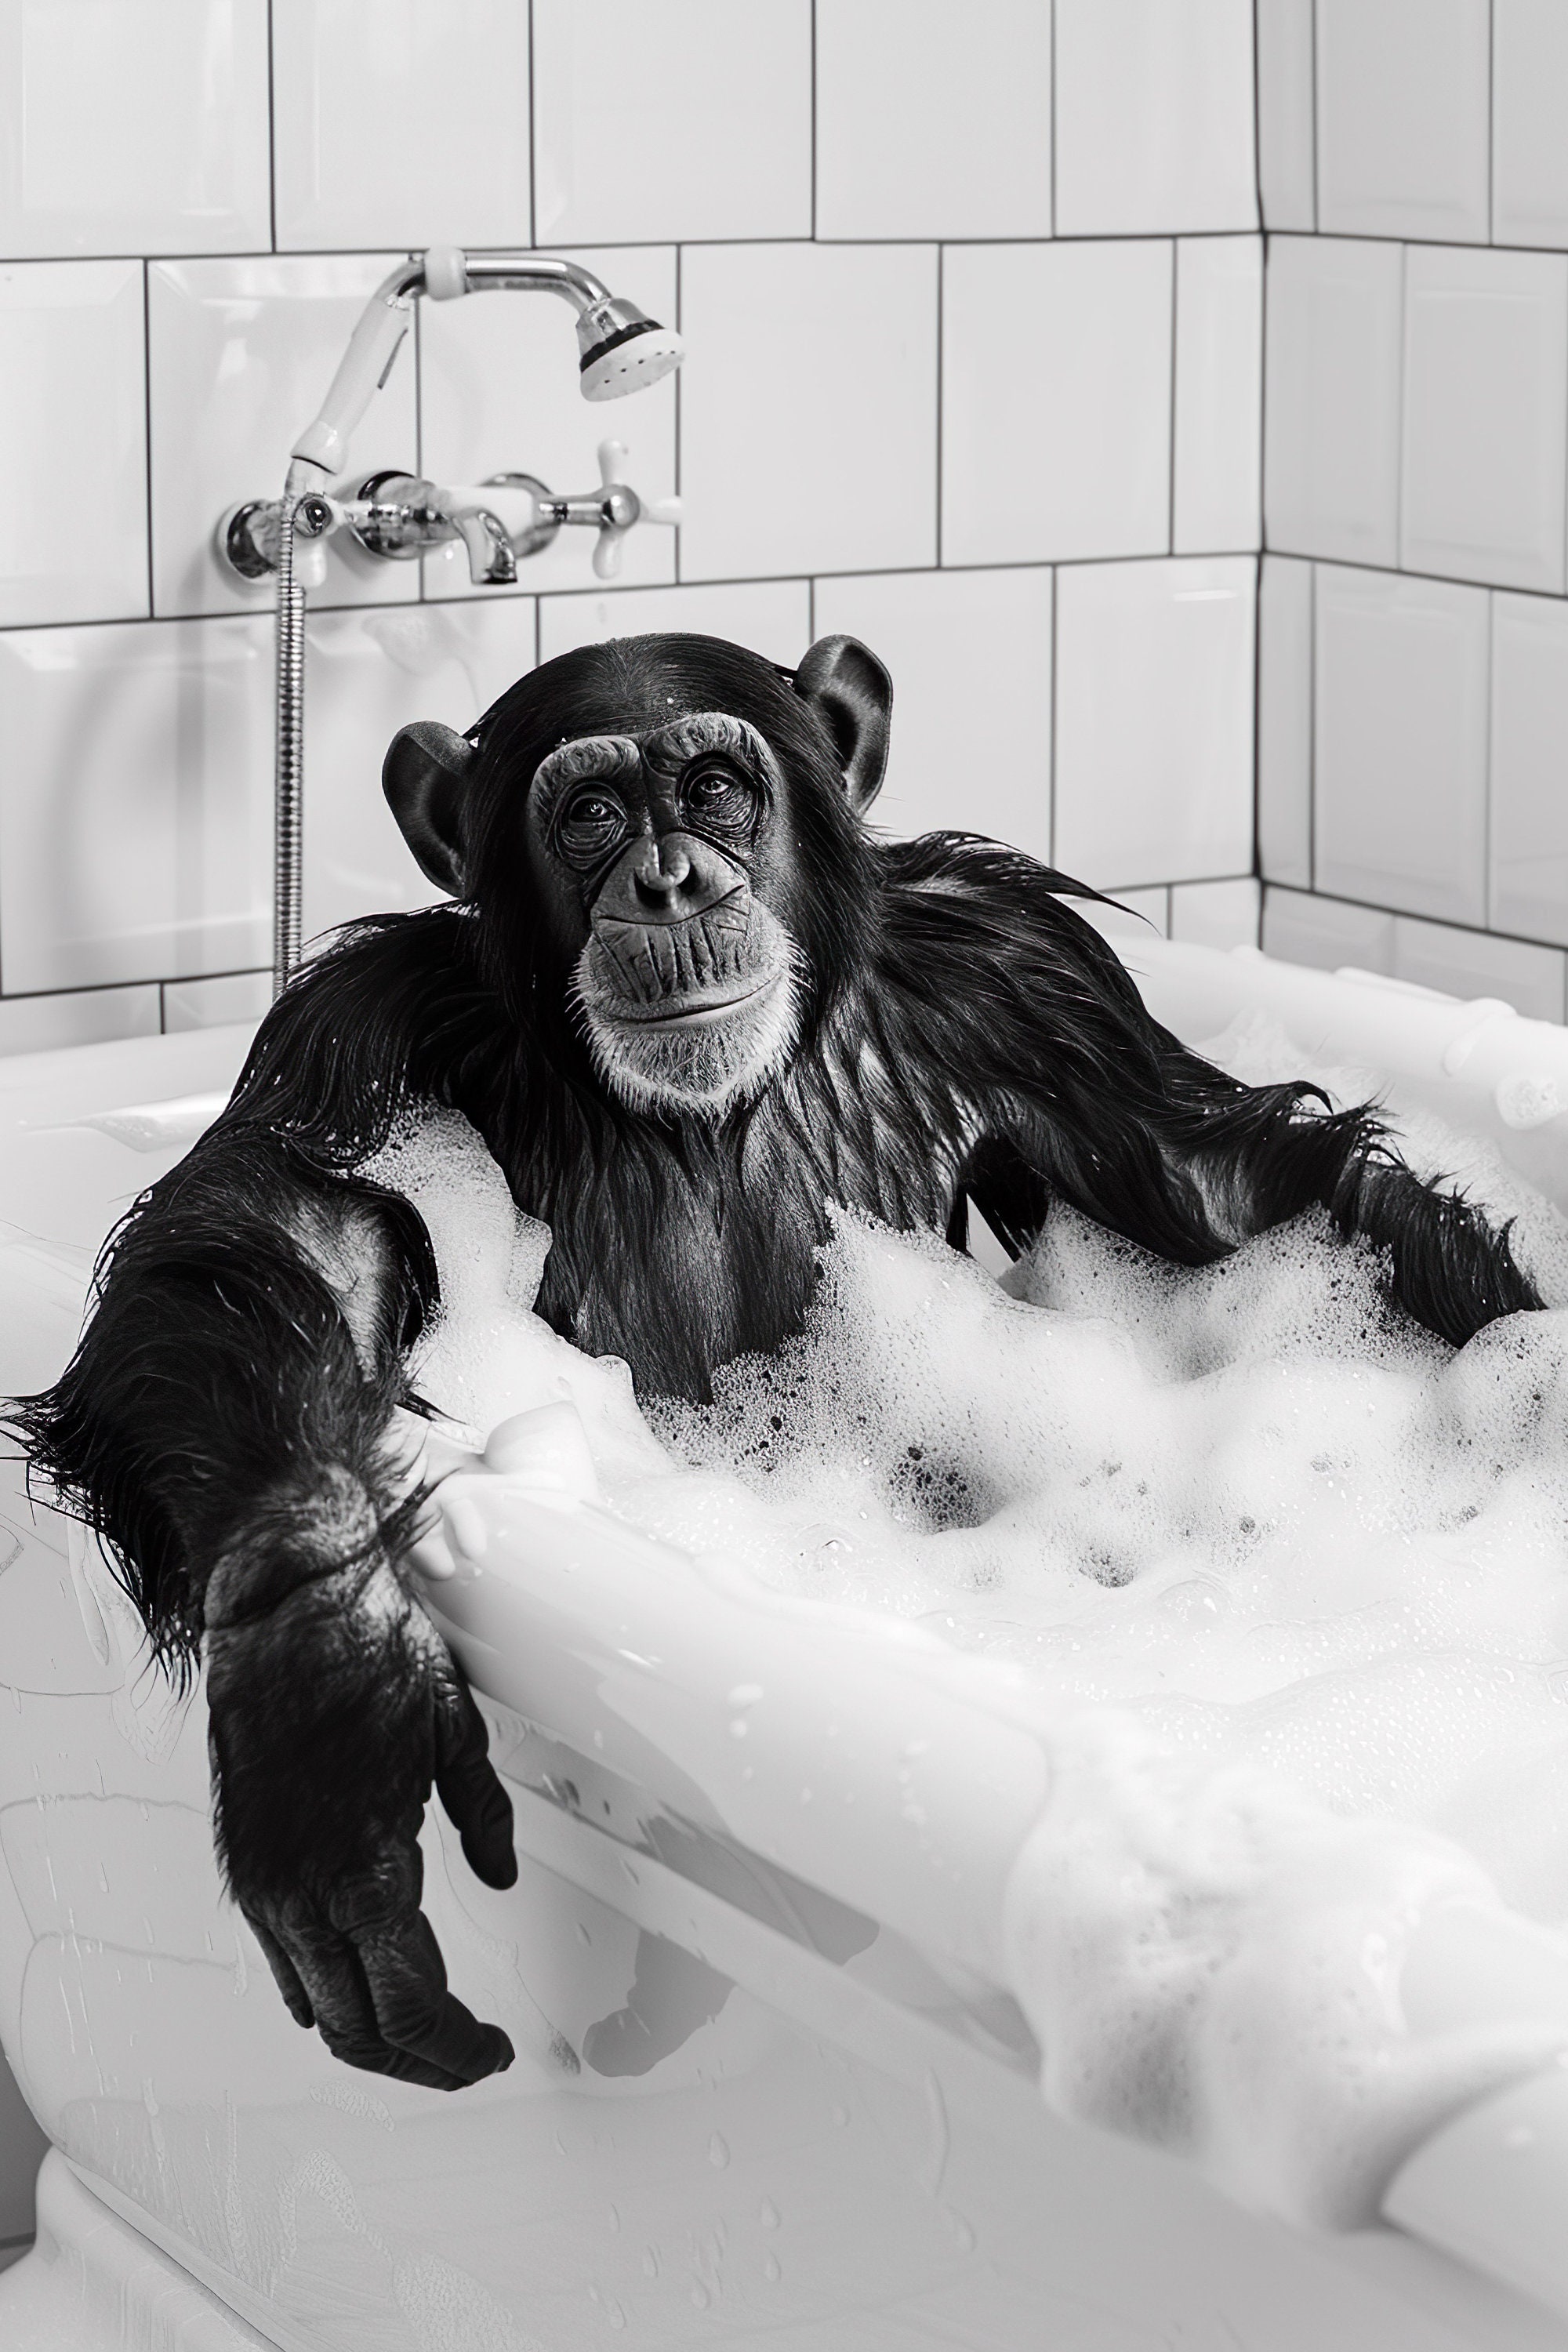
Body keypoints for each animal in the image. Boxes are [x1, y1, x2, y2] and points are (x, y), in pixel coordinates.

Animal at [12, 630, 1543, 2089]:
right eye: (589, 814)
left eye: (713, 790)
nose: (670, 882)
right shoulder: (365, 1030)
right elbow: (288, 1230)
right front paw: (320, 1676)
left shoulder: (1034, 976)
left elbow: (1234, 1193)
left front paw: (1536, 1400)